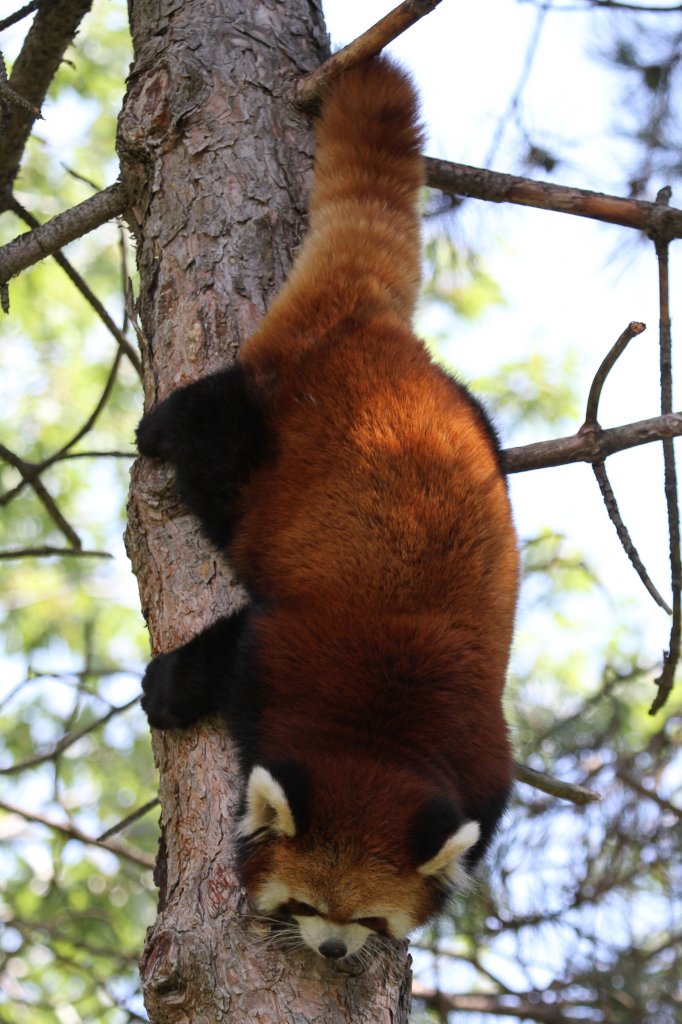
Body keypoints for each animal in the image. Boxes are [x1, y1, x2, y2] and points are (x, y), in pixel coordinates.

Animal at [139, 59, 520, 962]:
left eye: (369, 917)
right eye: (307, 904)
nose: (335, 953)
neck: (381, 735)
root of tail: (365, 333)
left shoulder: (483, 755)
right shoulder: (284, 649)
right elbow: (225, 650)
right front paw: (168, 687)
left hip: (468, 414)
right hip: (255, 429)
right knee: (204, 432)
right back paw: (158, 427)